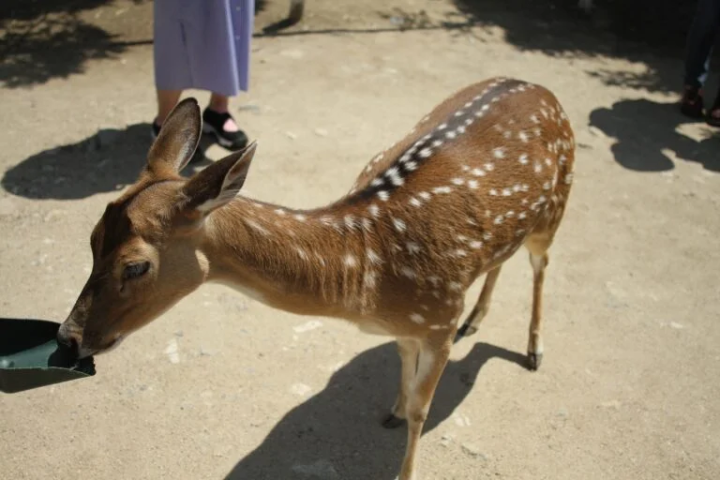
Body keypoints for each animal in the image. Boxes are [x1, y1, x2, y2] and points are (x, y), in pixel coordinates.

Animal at [57, 76, 575, 480]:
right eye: (91, 238)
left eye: (135, 265)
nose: (68, 338)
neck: (370, 278)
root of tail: (542, 88)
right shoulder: (413, 324)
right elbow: (405, 376)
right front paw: (390, 409)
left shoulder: (440, 316)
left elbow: (422, 410)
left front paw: (406, 463)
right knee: (501, 259)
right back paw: (478, 318)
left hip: (555, 208)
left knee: (541, 265)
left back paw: (534, 350)